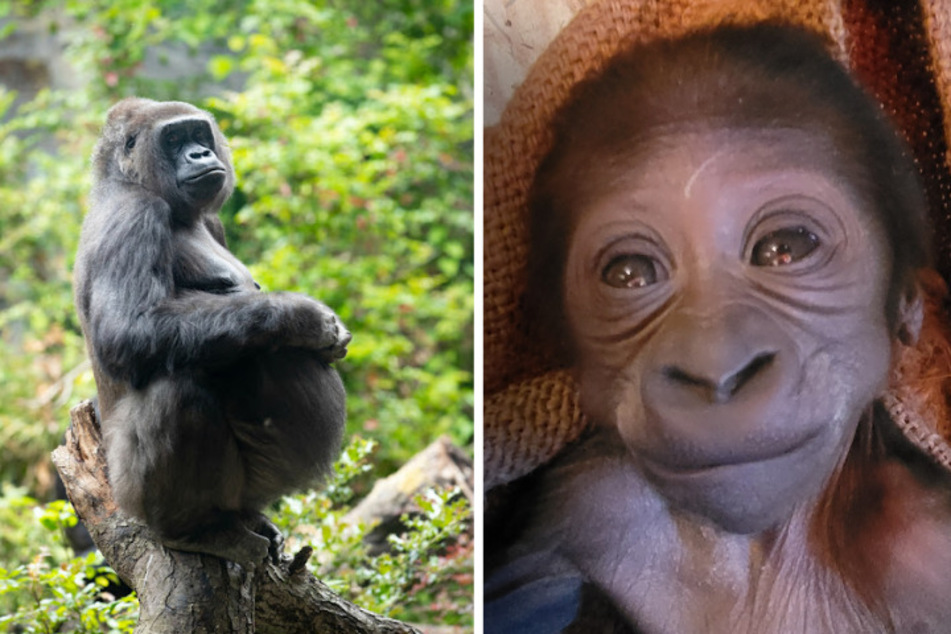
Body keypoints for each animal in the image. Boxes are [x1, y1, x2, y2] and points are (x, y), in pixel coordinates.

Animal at [73, 97, 350, 565]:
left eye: (198, 134)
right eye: (173, 139)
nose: (200, 154)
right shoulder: (134, 215)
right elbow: (129, 332)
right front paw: (303, 318)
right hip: (129, 496)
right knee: (176, 391)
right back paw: (192, 530)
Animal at [486, 24, 951, 633]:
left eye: (786, 248)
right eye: (629, 274)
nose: (716, 371)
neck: (759, 552)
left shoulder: (926, 543)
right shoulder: (581, 501)